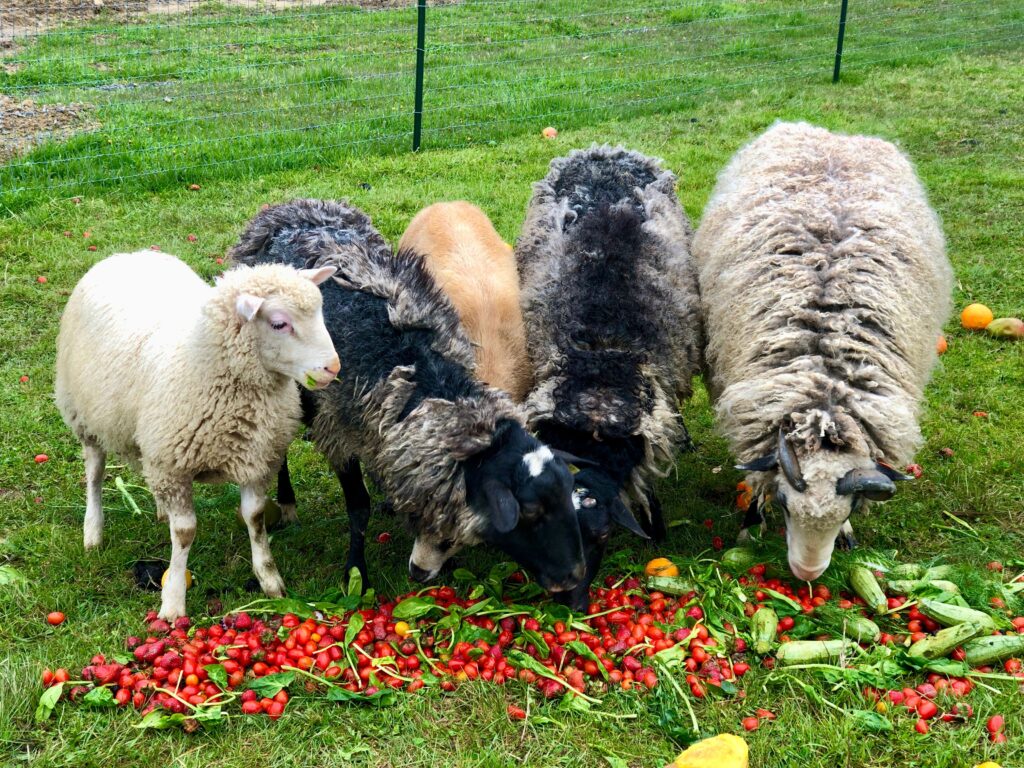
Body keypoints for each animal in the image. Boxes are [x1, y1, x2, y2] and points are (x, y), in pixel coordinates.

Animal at [55, 250, 340, 620]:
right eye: (279, 323)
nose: (333, 367)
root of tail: (127, 254)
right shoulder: (174, 465)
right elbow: (185, 532)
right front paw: (173, 601)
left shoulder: (257, 458)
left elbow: (255, 517)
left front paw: (270, 579)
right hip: (84, 414)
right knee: (94, 473)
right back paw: (93, 531)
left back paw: (159, 510)